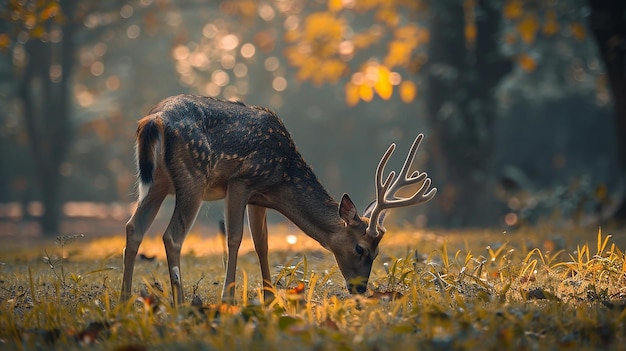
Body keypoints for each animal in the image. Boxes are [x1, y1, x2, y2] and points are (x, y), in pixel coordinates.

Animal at [120, 94, 434, 306]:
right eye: (361, 249)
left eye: (378, 254)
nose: (359, 289)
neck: (281, 179)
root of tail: (154, 120)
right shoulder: (241, 180)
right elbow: (235, 238)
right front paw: (228, 298)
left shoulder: (258, 197)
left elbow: (262, 243)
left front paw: (270, 296)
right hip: (193, 176)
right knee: (172, 236)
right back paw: (181, 303)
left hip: (157, 184)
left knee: (133, 228)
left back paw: (124, 299)